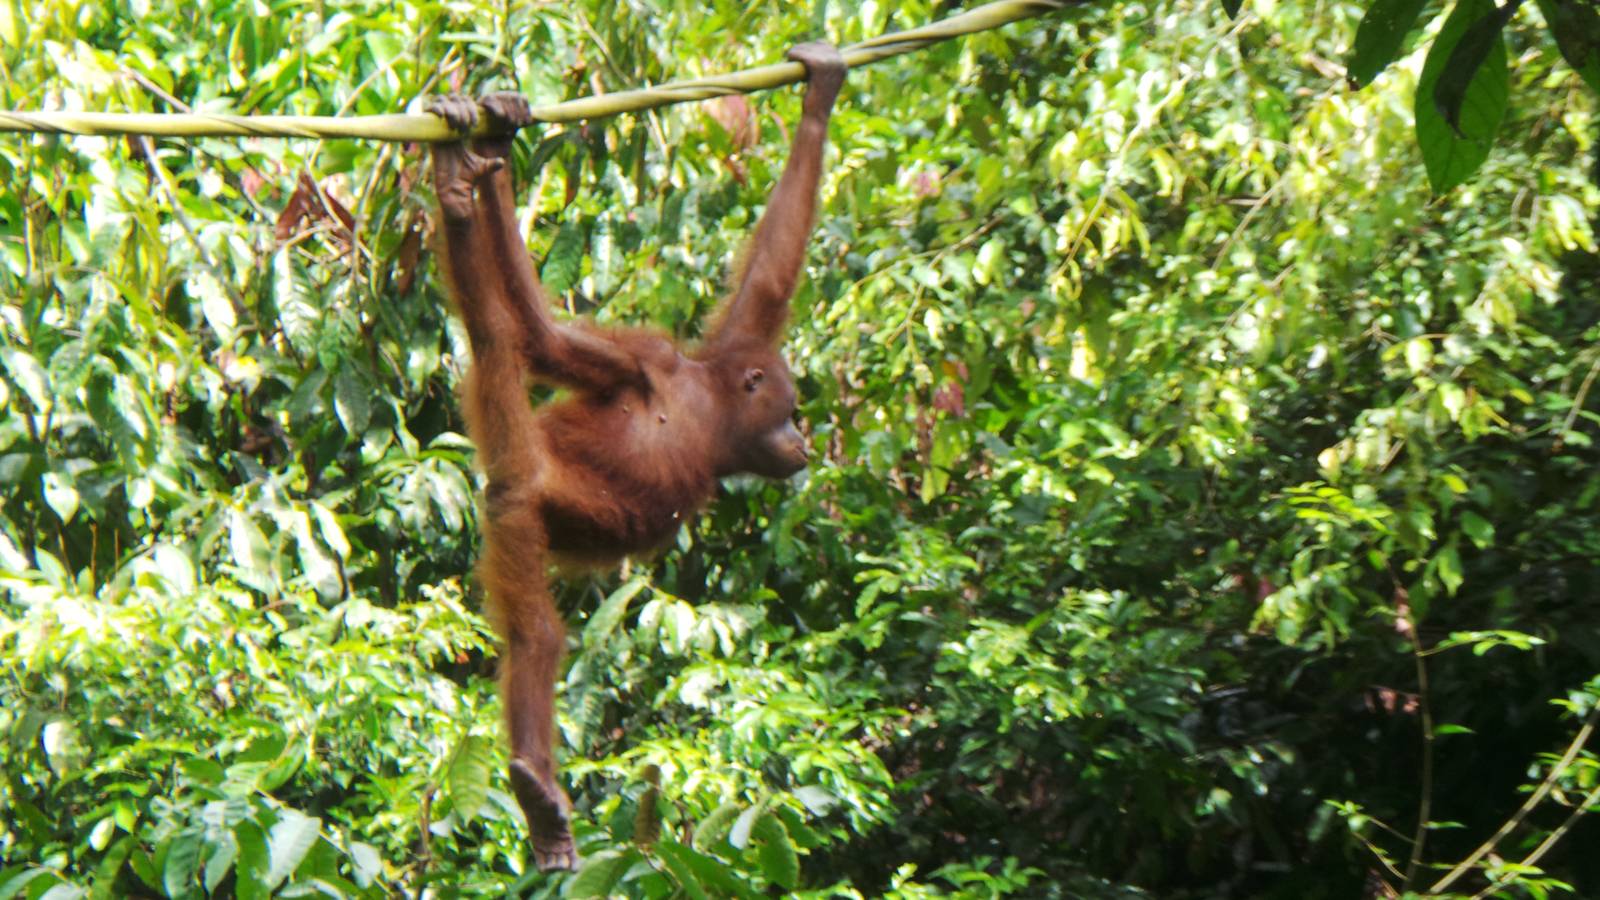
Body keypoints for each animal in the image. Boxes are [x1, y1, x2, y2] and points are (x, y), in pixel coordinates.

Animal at [426, 42, 847, 871]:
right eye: (791, 410)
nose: (805, 440)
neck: (708, 408)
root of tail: (516, 464)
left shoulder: (706, 350)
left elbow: (541, 334)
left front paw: (819, 90)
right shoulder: (649, 360)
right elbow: (544, 336)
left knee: (494, 337)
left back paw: (463, 189)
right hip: (518, 507)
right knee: (538, 633)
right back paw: (537, 788)